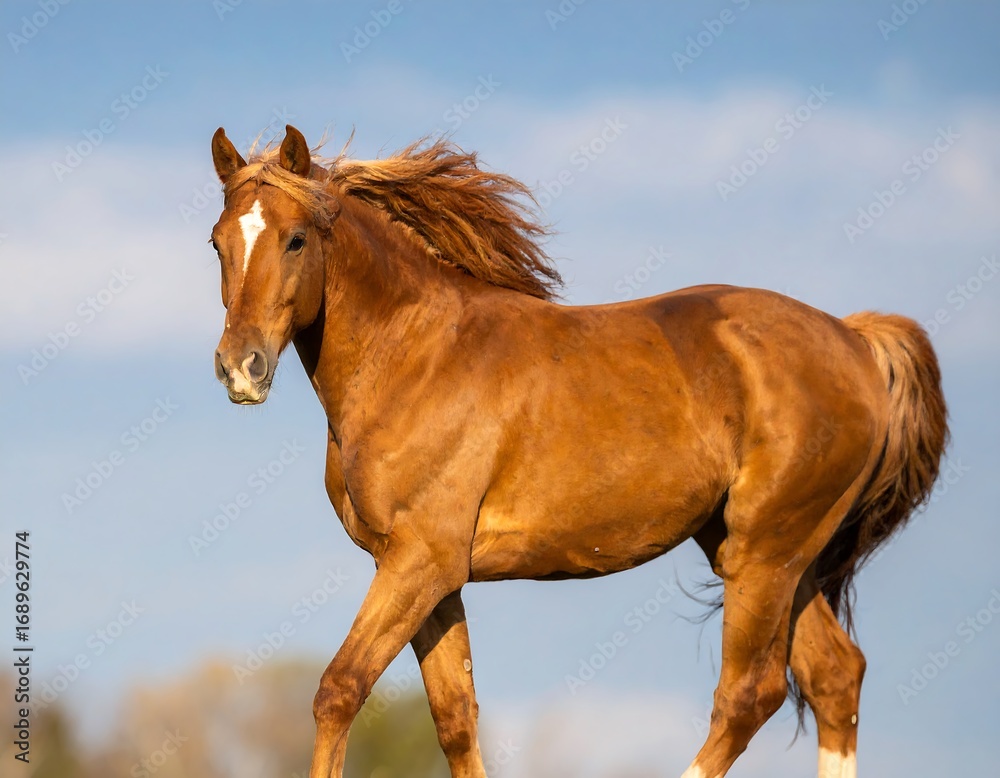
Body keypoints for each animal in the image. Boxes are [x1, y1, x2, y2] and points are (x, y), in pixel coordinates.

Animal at [207, 124, 947, 778]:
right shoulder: (426, 574)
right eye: (217, 243)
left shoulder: (420, 562)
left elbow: (340, 689)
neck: (416, 353)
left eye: (296, 238)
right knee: (834, 676)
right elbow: (456, 718)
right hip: (776, 556)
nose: (240, 368)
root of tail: (854, 339)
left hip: (765, 555)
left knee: (748, 696)